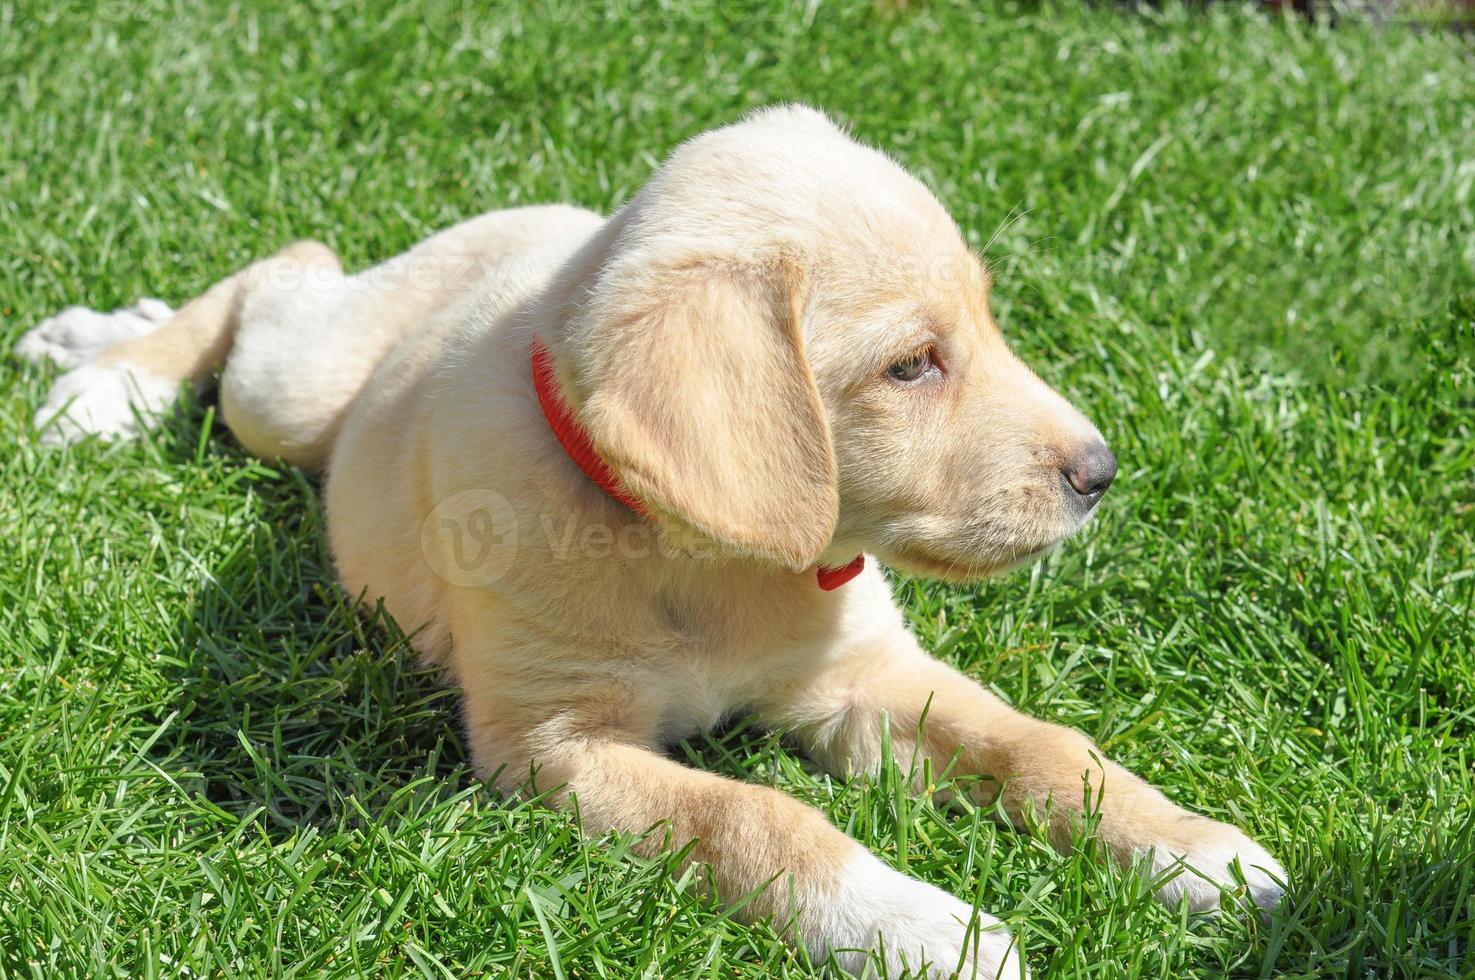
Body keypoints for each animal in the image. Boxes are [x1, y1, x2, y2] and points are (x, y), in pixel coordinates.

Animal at [25, 103, 1292, 974]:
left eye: (984, 321)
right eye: (909, 365)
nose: (1099, 474)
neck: (707, 557)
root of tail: (546, 221)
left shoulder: (860, 680)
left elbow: (1034, 744)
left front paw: (1192, 850)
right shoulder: (555, 743)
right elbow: (754, 816)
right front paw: (919, 924)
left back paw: (100, 334)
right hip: (292, 394)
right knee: (285, 270)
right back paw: (108, 380)